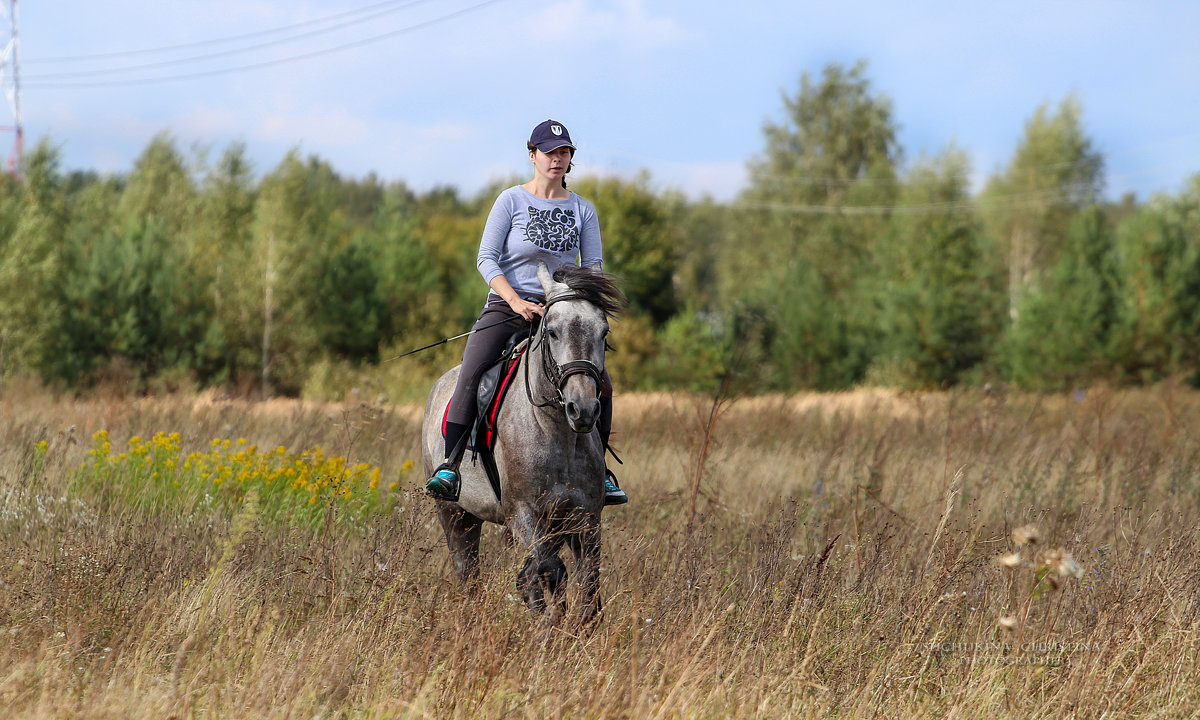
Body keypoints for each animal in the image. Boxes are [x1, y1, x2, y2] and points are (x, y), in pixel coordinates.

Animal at [422, 261, 624, 619]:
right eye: (552, 331)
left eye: (604, 332)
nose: (583, 408)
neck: (557, 434)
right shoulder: (525, 515)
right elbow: (547, 570)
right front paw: (551, 625)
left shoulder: (585, 518)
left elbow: (587, 585)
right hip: (455, 515)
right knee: (469, 573)